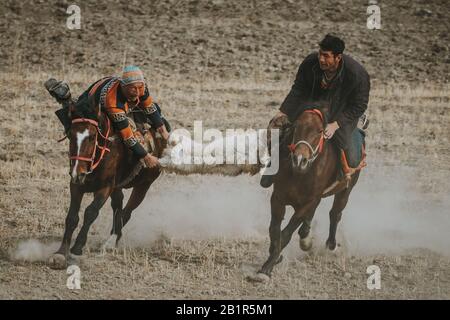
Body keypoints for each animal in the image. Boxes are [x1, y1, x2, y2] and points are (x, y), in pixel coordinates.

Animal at [253, 107, 362, 280]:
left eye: (320, 131)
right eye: (296, 127)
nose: (299, 160)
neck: (300, 174)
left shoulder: (308, 202)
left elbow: (286, 233)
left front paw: (267, 267)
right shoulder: (277, 198)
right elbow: (274, 231)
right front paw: (274, 256)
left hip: (345, 190)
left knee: (335, 214)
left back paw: (330, 244)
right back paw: (306, 238)